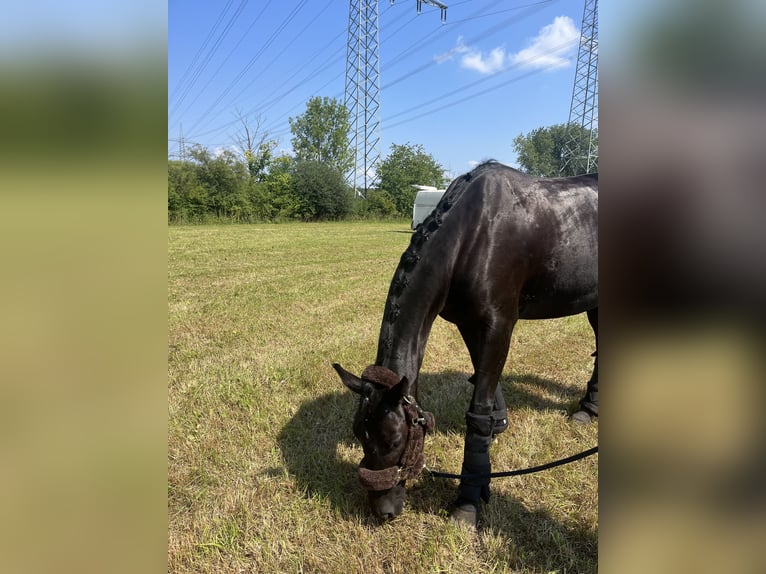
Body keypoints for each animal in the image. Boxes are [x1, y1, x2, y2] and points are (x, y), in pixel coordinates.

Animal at [332, 161, 596, 528]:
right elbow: (484, 381)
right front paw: (498, 428)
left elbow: (478, 407)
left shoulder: (499, 324)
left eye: (395, 438)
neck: (473, 235)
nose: (382, 511)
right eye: (359, 433)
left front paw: (469, 497)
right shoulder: (469, 323)